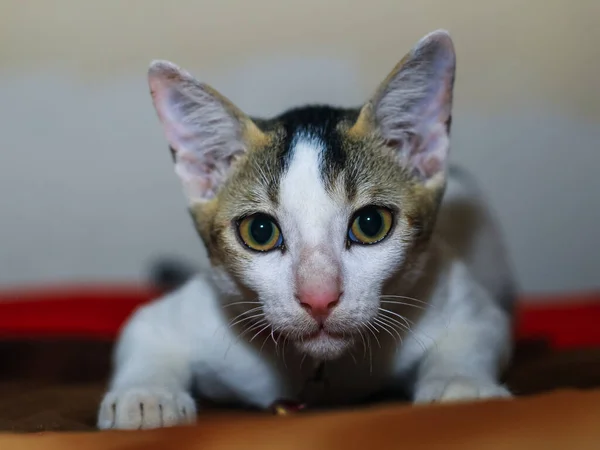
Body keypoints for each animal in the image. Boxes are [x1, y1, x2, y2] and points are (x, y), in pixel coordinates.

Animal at [97, 29, 516, 430]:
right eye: (260, 231)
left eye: (371, 224)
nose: (319, 298)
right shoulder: (189, 315)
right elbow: (145, 332)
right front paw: (146, 398)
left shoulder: (460, 300)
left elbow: (475, 332)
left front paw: (462, 388)